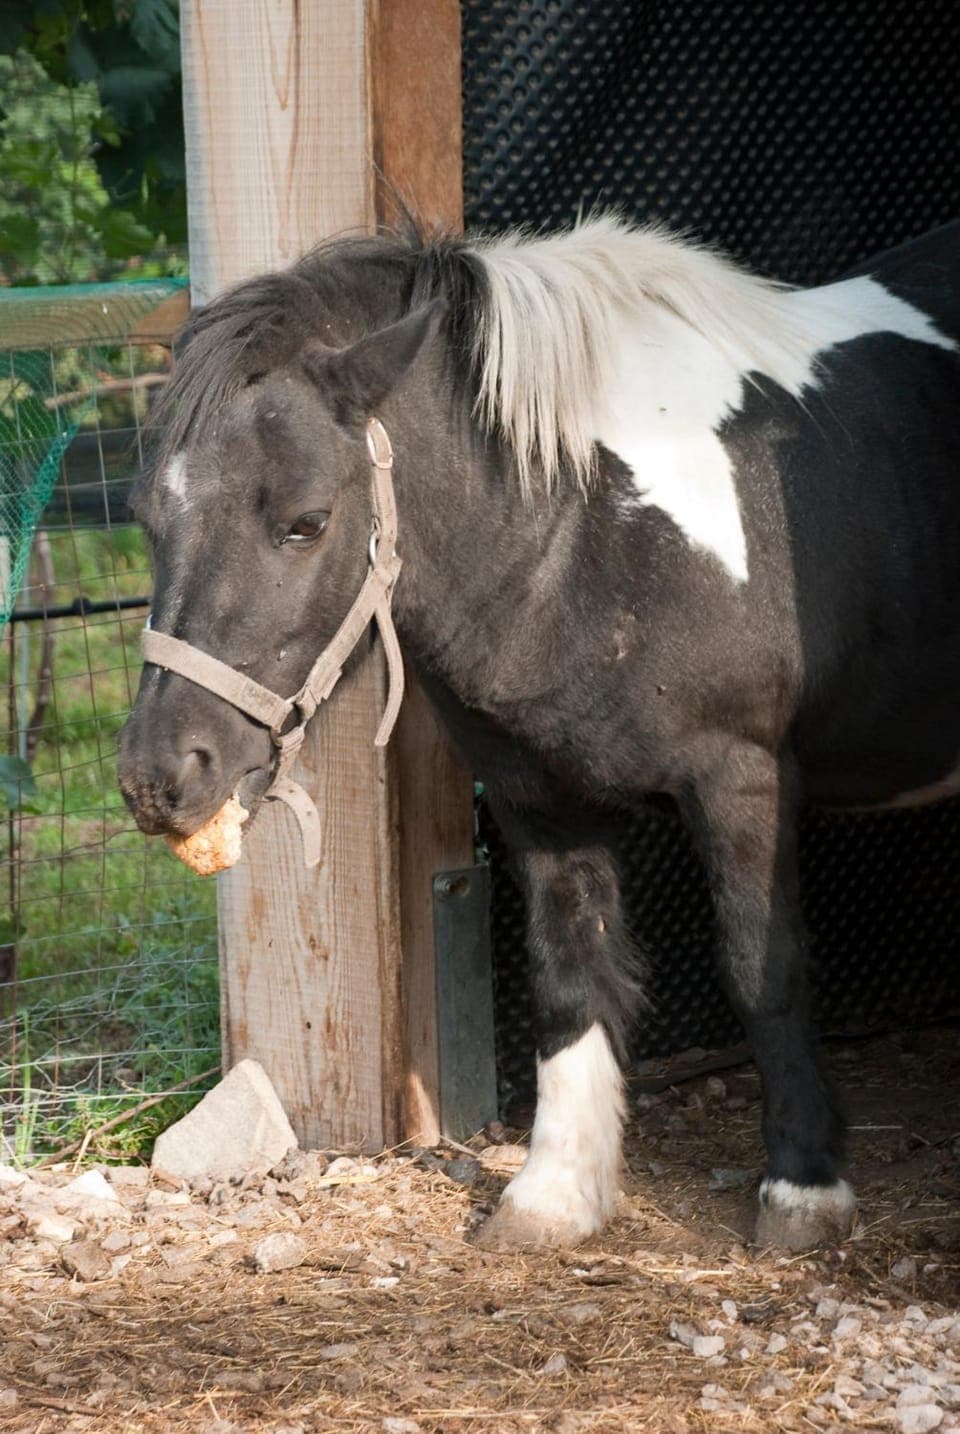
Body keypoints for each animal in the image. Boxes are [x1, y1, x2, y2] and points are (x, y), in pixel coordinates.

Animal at [117, 212, 960, 1253]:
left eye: (305, 522)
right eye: (147, 517)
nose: (161, 775)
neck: (587, 524)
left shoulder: (742, 777)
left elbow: (763, 969)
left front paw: (804, 1188)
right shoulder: (540, 799)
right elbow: (570, 973)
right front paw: (556, 1193)